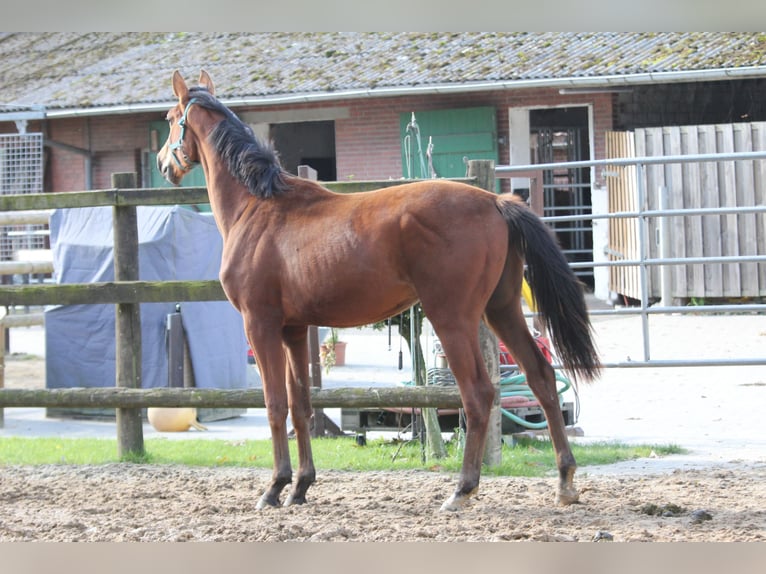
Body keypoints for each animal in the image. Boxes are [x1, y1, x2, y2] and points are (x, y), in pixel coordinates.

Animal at [158, 71, 600, 512]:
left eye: (170, 118)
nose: (164, 163)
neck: (259, 207)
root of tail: (495, 200)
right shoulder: (294, 330)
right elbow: (301, 405)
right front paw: (301, 486)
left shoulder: (260, 324)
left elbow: (274, 404)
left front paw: (274, 488)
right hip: (502, 309)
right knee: (541, 376)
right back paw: (565, 481)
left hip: (452, 318)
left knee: (479, 393)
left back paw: (462, 489)